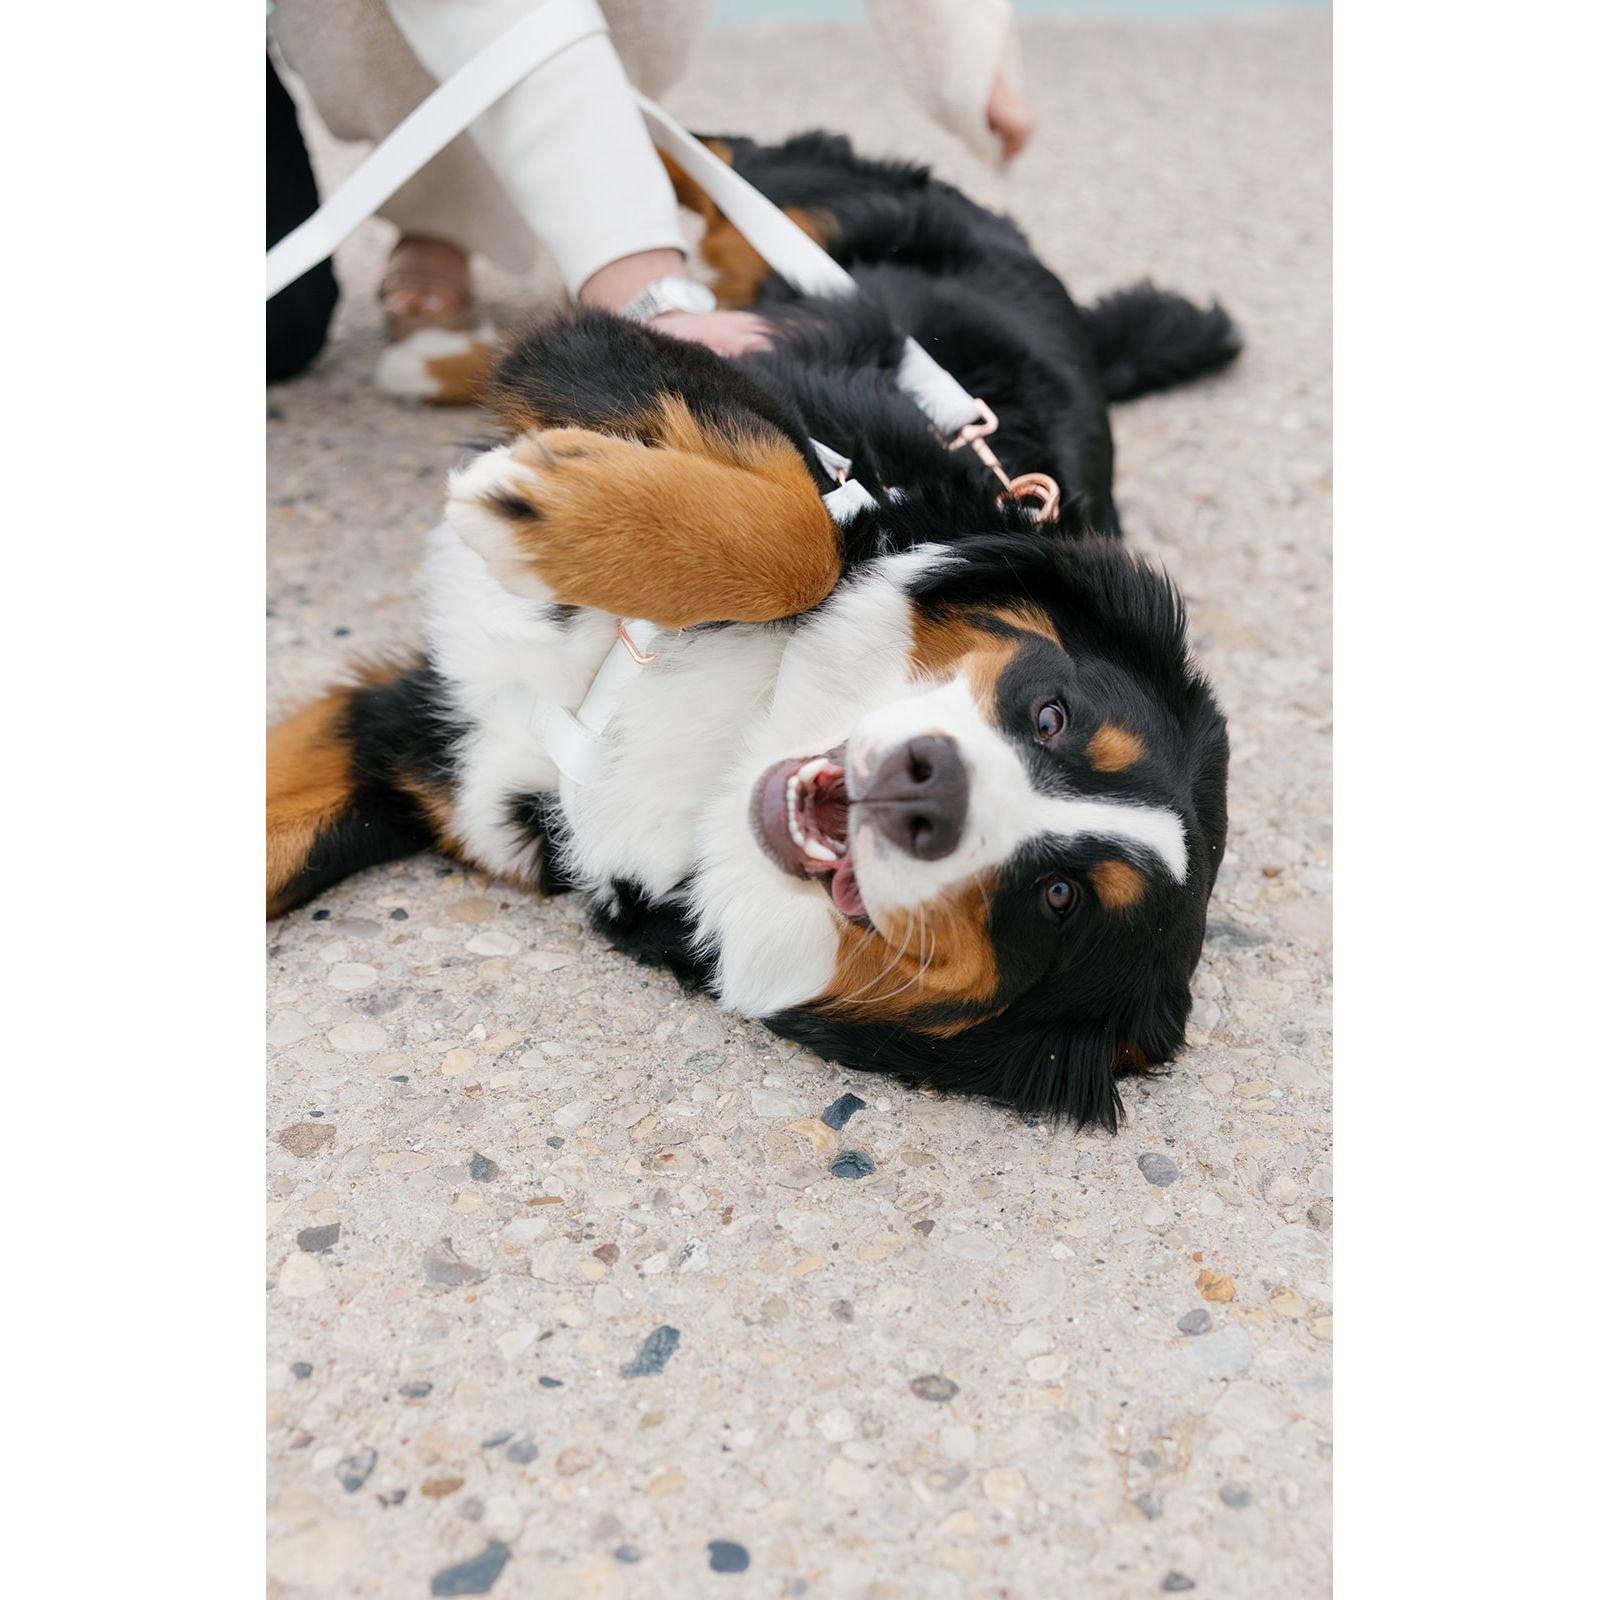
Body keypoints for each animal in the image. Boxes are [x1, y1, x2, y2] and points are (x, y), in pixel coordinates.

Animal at [267, 131, 1239, 1128]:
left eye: (1059, 899)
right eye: (1053, 714)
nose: (925, 788)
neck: (736, 739)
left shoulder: (437, 751)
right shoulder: (691, 379)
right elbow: (803, 528)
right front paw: (556, 511)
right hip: (812, 216)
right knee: (717, 178)